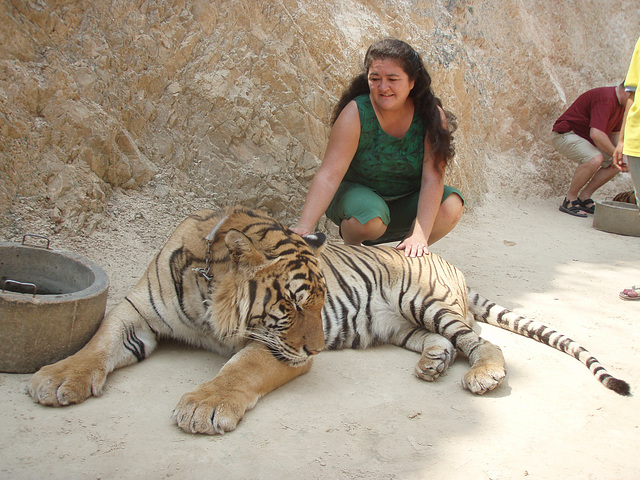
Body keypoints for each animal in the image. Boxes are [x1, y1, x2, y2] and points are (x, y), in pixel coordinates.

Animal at [26, 206, 632, 436]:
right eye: (294, 305)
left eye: (320, 304)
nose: (318, 350)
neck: (205, 297)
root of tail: (446, 261)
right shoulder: (135, 312)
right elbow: (96, 346)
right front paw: (55, 379)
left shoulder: (274, 350)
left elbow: (238, 371)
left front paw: (204, 407)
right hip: (403, 325)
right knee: (441, 342)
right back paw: (433, 365)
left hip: (428, 301)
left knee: (481, 342)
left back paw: (481, 375)